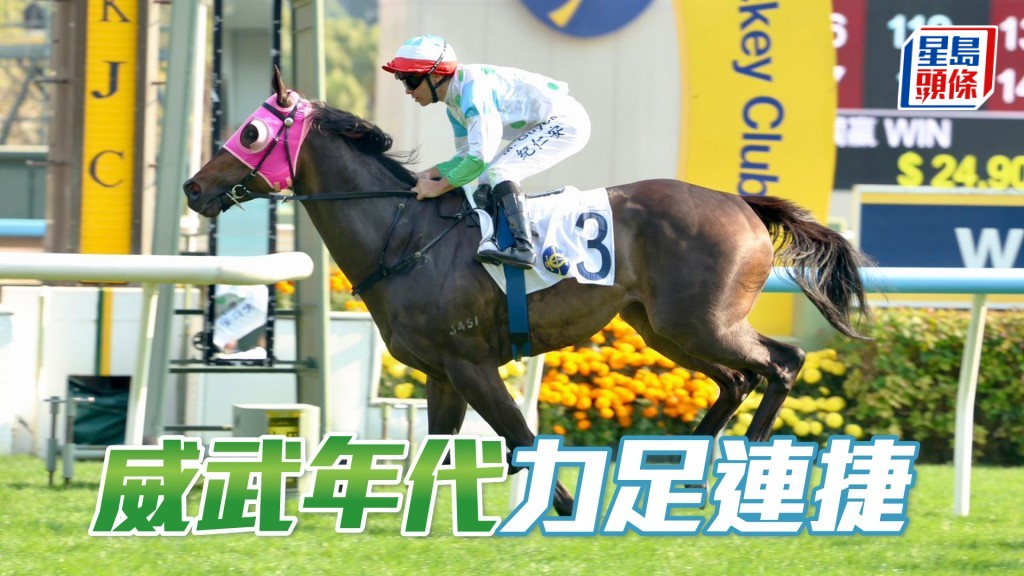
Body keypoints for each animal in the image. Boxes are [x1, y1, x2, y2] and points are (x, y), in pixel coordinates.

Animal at [183, 68, 871, 516]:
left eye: (249, 134)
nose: (193, 188)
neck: (403, 237)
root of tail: (742, 203)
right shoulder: (442, 373)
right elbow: (441, 448)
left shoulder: (472, 363)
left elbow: (521, 437)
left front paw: (562, 506)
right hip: (662, 326)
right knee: (736, 380)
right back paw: (682, 478)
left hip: (702, 323)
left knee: (782, 363)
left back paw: (740, 478)